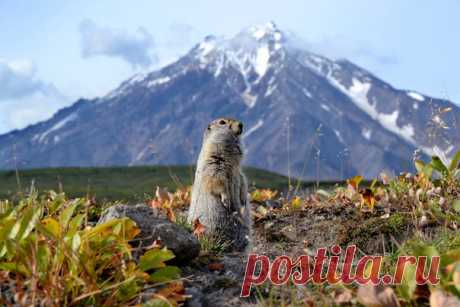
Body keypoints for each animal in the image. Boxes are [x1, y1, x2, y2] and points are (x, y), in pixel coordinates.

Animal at [188, 119, 250, 251]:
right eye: (222, 122)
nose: (241, 124)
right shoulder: (213, 163)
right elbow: (217, 180)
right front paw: (226, 200)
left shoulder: (239, 170)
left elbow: (243, 178)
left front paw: (243, 199)